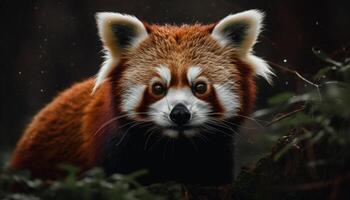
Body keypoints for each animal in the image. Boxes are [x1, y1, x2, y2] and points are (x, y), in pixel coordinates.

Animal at [10, 9, 274, 184]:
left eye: (200, 87)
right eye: (158, 88)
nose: (180, 113)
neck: (175, 147)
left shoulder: (217, 154)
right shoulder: (114, 151)